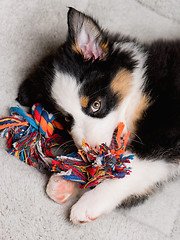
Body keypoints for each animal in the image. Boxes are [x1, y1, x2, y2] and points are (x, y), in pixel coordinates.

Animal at [16, 7, 179, 225]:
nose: (91, 151)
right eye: (66, 118)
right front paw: (66, 180)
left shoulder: (164, 131)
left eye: (96, 105)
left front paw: (90, 203)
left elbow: (133, 167)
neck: (141, 91)